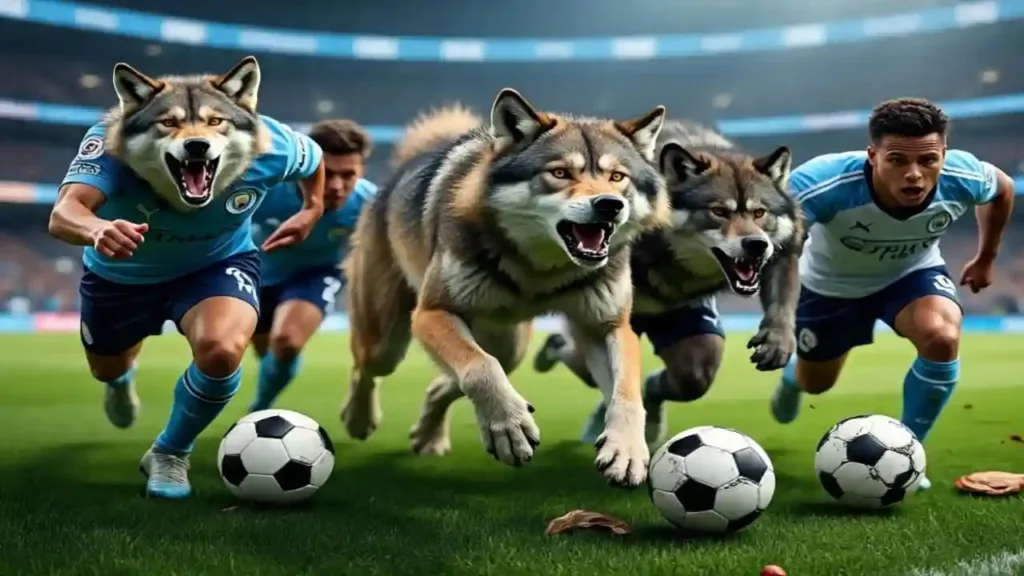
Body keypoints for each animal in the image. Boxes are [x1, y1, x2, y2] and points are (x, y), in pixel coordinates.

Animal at [340, 88, 671, 486]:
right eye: (560, 173)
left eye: (618, 176)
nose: (610, 205)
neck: (541, 272)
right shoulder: (432, 313)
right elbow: (480, 369)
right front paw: (510, 428)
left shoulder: (608, 326)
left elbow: (627, 393)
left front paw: (627, 451)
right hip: (388, 341)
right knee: (366, 368)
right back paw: (358, 419)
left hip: (509, 343)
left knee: (444, 383)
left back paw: (429, 436)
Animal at [534, 120, 803, 444]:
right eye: (718, 211)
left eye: (759, 212)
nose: (757, 245)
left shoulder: (784, 248)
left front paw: (778, 339)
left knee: (684, 377)